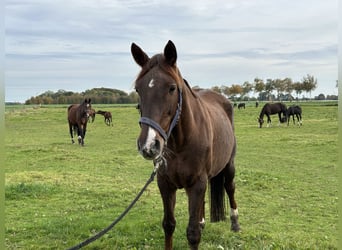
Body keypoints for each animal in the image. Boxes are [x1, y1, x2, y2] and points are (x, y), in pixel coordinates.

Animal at [131, 40, 240, 249]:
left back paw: (235, 223)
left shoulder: (197, 183)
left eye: (172, 88)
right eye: (138, 89)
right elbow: (168, 225)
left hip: (229, 164)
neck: (181, 144)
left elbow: (193, 234)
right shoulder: (165, 183)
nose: (149, 145)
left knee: (229, 187)